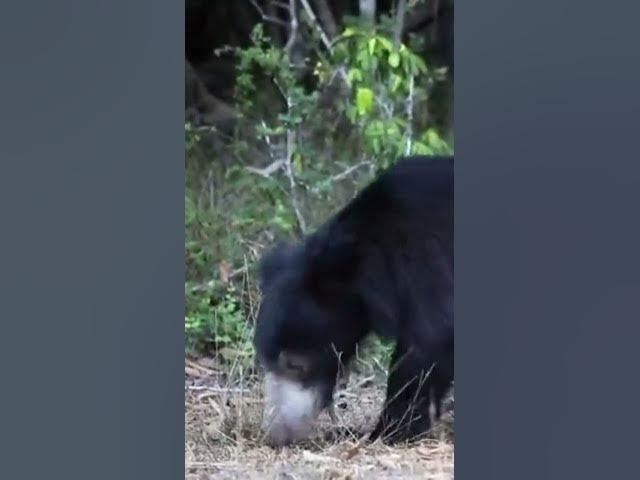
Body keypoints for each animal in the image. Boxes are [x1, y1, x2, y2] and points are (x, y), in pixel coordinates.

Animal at [254, 155, 454, 446]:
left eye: (295, 365)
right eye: (264, 359)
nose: (277, 433)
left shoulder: (429, 264)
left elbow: (428, 343)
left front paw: (385, 431)